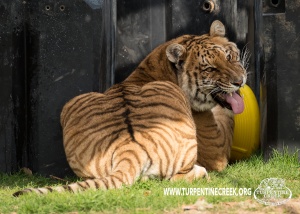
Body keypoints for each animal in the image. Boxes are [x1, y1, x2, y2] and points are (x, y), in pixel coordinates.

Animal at [12, 19, 246, 196]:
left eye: (229, 57)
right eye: (211, 69)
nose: (240, 81)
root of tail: (129, 148)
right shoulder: (217, 149)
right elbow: (228, 116)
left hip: (73, 104)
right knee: (176, 179)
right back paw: (199, 172)